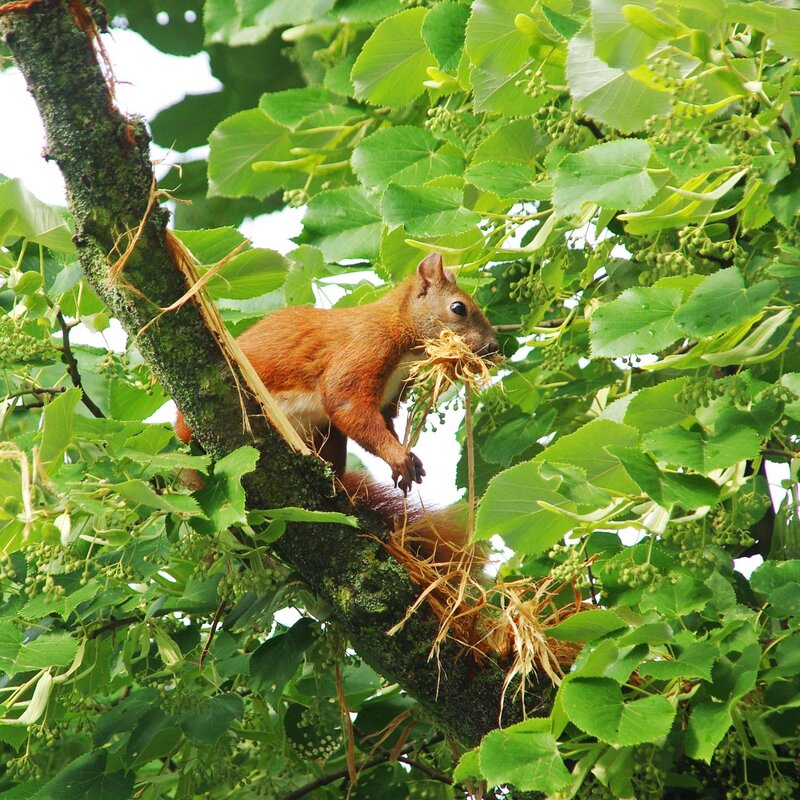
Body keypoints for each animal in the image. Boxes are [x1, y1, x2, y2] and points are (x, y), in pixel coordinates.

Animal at [175, 252, 498, 496]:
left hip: (325, 435)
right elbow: (346, 403)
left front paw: (407, 459)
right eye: (458, 308)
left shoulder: (390, 395)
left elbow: (380, 421)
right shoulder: (365, 346)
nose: (494, 347)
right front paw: (397, 456)